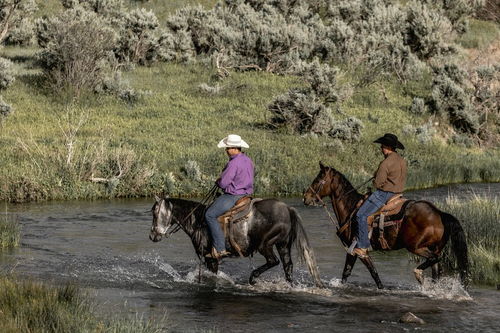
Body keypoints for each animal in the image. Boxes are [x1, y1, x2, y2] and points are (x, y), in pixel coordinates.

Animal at [148, 196, 324, 286]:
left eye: (155, 213)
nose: (152, 236)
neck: (198, 221)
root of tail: (288, 209)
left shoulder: (211, 259)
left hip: (265, 245)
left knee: (273, 261)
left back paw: (253, 277)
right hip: (283, 245)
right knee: (288, 266)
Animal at [302, 161, 470, 288]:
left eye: (317, 180)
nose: (305, 198)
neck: (351, 208)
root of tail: (439, 213)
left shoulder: (356, 250)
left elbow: (365, 273)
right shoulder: (357, 251)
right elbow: (357, 273)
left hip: (416, 247)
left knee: (435, 259)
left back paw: (419, 275)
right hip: (433, 247)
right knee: (437, 269)